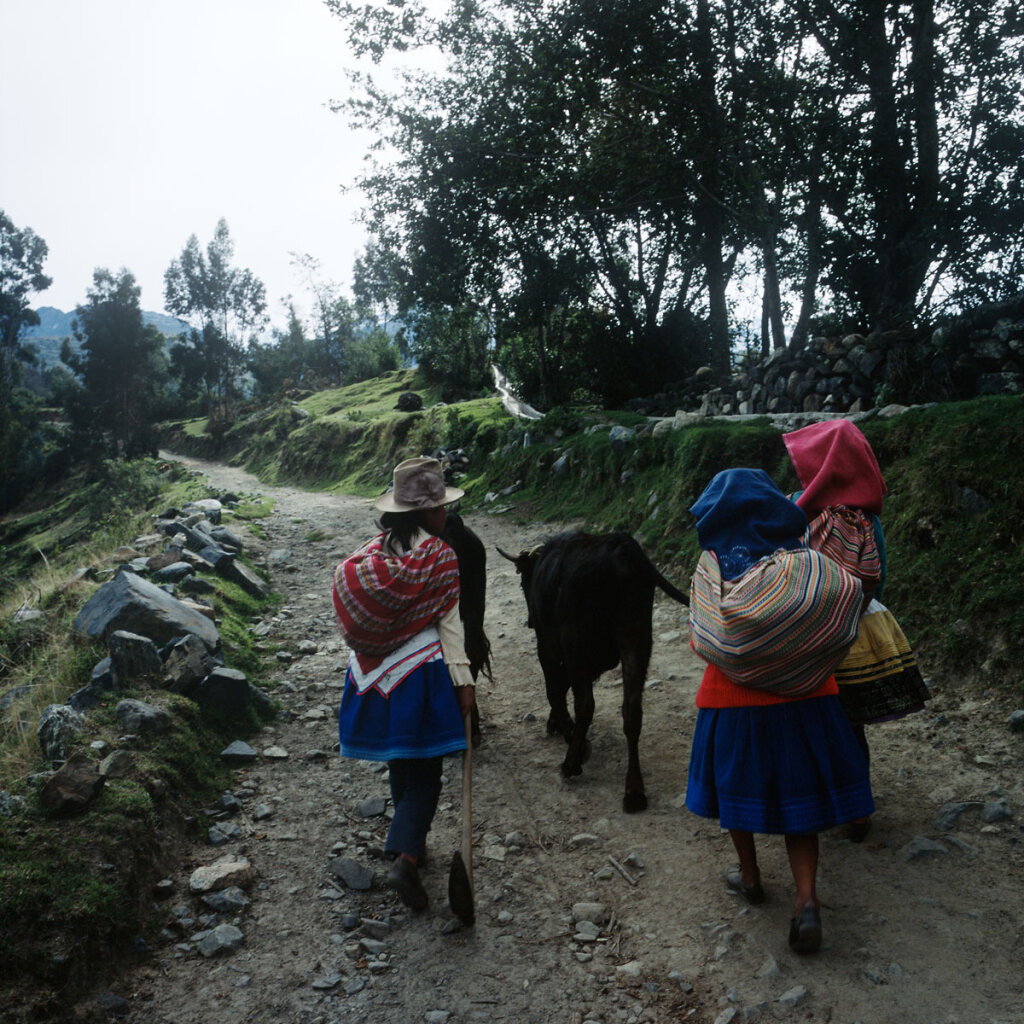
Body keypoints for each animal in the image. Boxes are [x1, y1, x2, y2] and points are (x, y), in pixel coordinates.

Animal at [497, 532, 688, 811]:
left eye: (523, 583)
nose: (529, 621)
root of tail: (621, 547)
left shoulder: (549, 646)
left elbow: (554, 689)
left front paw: (569, 734)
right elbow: (561, 687)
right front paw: (557, 723)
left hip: (578, 645)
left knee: (585, 705)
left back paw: (572, 763)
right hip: (636, 640)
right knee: (632, 713)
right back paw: (634, 792)